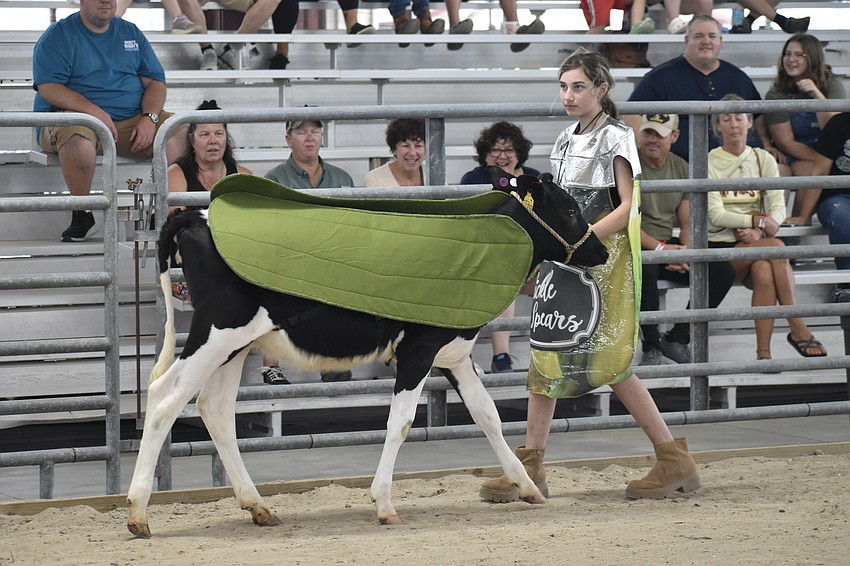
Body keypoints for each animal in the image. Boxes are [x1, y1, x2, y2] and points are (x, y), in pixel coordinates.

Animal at [126, 170, 608, 538]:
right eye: (569, 209)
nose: (601, 249)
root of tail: (196, 215)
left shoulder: (454, 352)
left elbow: (487, 416)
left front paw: (527, 488)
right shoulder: (418, 350)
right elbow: (401, 423)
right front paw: (384, 504)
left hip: (235, 345)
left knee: (215, 408)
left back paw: (259, 507)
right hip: (217, 332)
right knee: (164, 399)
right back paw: (138, 514)